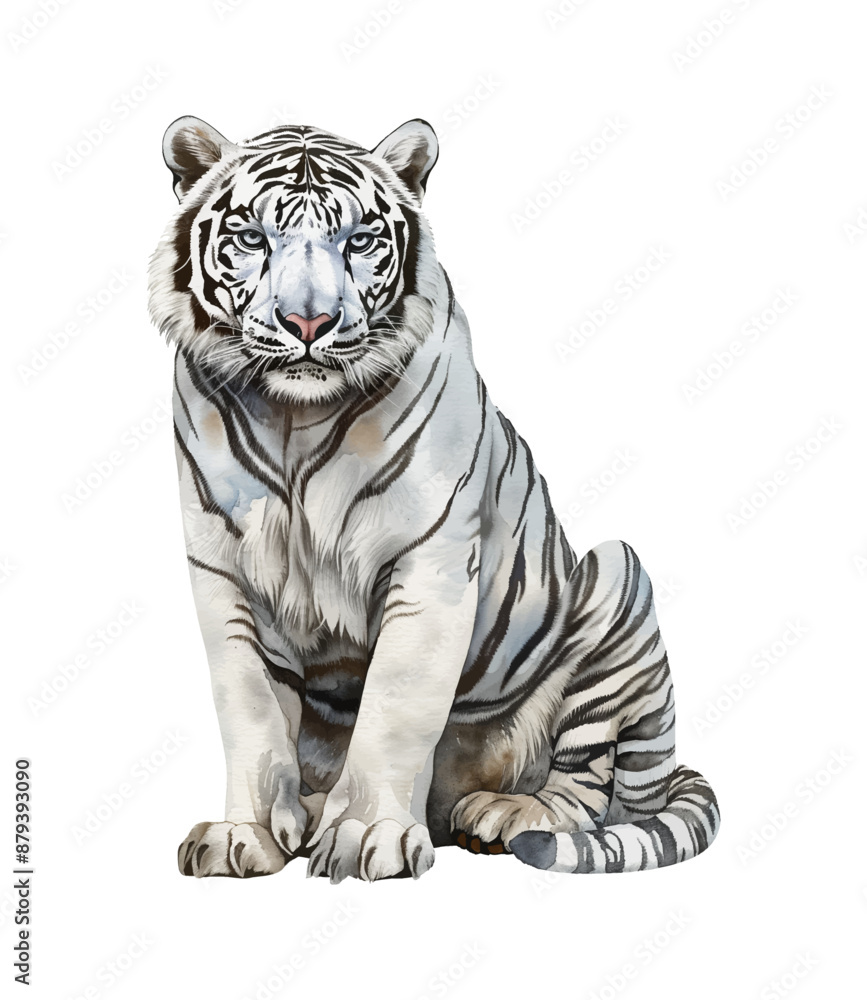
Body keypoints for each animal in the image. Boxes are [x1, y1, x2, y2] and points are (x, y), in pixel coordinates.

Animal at [148, 114, 720, 882]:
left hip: (615, 576)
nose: (308, 323)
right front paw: (246, 834)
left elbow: (395, 710)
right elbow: (251, 713)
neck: (294, 419)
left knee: (592, 783)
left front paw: (367, 837)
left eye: (358, 240)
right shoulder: (224, 571)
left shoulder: (430, 562)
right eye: (252, 238)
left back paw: (507, 814)